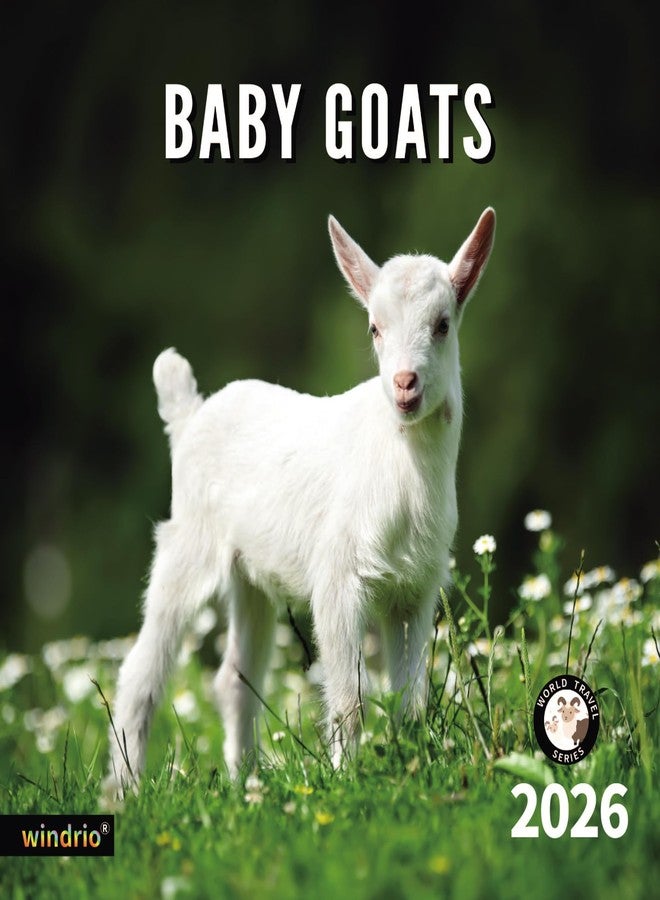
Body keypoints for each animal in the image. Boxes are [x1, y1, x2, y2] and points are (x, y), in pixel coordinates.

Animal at [104, 208, 496, 795]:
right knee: (141, 669)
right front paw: (348, 778)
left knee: (235, 676)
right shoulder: (338, 577)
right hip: (188, 540)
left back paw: (246, 782)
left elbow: (410, 698)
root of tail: (190, 415)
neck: (400, 467)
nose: (405, 385)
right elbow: (350, 697)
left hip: (248, 575)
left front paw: (413, 764)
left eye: (443, 324)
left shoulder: (415, 588)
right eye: (374, 328)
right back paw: (127, 789)